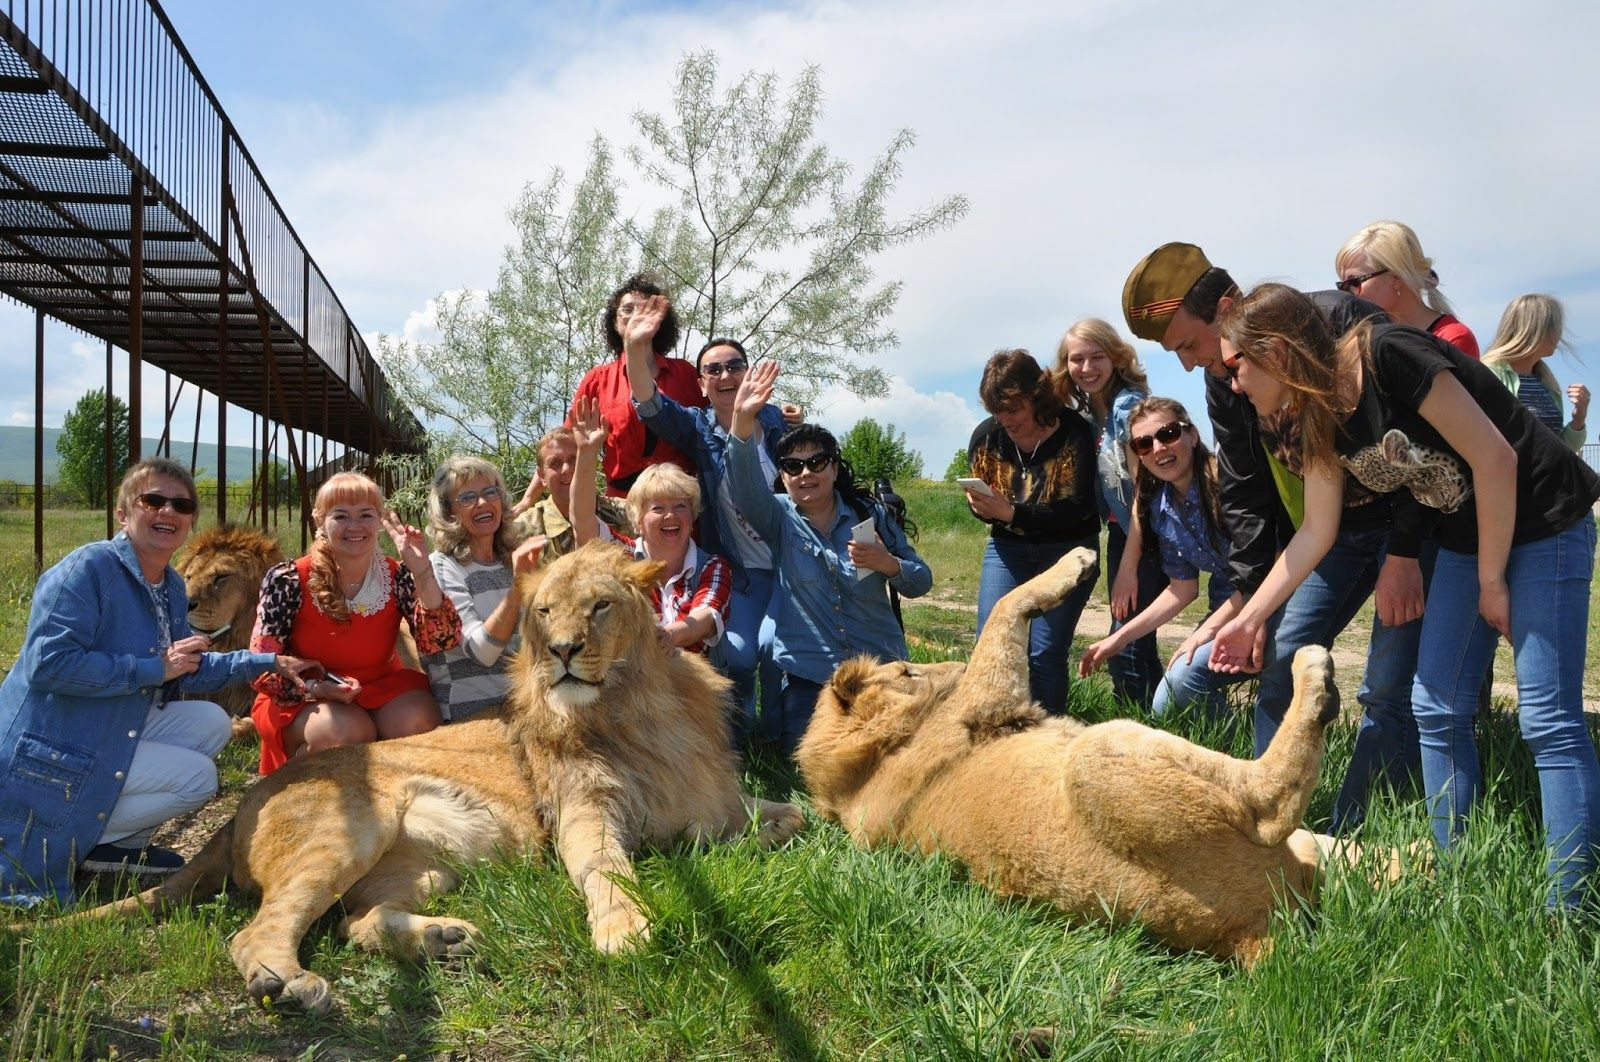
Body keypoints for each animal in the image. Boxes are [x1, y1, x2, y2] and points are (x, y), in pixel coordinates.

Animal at [81, 543, 806, 1017]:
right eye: (544, 613)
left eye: (600, 607)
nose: (564, 651)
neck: (636, 707)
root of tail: (242, 807)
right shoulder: (583, 812)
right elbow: (608, 870)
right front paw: (626, 931)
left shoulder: (710, 798)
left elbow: (791, 816)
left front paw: (781, 832)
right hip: (352, 827)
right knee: (257, 930)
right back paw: (289, 982)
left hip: (437, 865)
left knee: (354, 921)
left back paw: (443, 940)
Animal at [796, 546, 1388, 959]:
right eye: (906, 670)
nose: (952, 668)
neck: (869, 765)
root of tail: (1250, 931)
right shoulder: (988, 696)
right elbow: (1005, 606)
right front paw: (1076, 563)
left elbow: (1002, 615)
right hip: (1101, 750)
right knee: (1271, 800)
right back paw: (1314, 676)